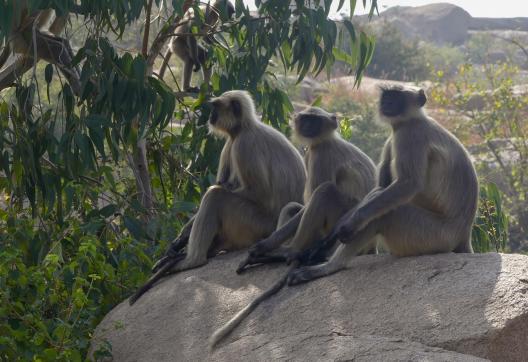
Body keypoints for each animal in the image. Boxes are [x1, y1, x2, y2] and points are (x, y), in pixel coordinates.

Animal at [128, 90, 308, 302]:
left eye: (215, 107)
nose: (210, 116)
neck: (243, 128)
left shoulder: (243, 145)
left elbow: (256, 191)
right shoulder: (231, 142)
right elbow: (223, 182)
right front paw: (178, 242)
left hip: (255, 225)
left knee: (216, 195)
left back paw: (193, 260)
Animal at [208, 105, 378, 348]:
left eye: (315, 121)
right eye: (306, 119)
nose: (307, 127)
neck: (325, 140)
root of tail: (371, 246)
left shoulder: (320, 155)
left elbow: (314, 196)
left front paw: (263, 247)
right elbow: (299, 208)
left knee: (325, 191)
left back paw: (291, 252)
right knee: (293, 206)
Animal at [286, 84, 480, 286]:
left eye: (396, 96)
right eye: (387, 95)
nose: (387, 102)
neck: (411, 120)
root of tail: (463, 234)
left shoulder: (410, 135)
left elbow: (408, 184)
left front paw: (350, 224)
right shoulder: (393, 137)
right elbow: (381, 186)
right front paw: (330, 238)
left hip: (433, 236)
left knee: (385, 214)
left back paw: (328, 267)